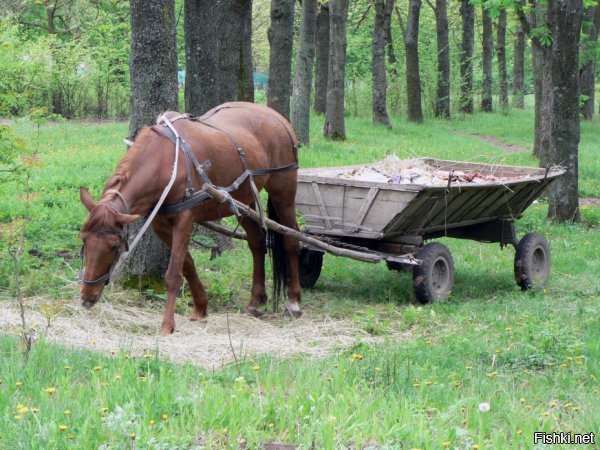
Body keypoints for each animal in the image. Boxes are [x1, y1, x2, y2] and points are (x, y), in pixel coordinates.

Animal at [79, 102, 302, 334]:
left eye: (114, 245)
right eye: (83, 240)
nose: (87, 296)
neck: (166, 162)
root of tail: (275, 115)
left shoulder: (184, 220)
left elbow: (173, 274)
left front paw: (167, 324)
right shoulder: (161, 225)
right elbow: (188, 266)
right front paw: (201, 308)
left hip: (283, 190)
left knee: (291, 240)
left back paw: (293, 301)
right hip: (246, 198)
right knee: (257, 243)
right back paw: (255, 301)